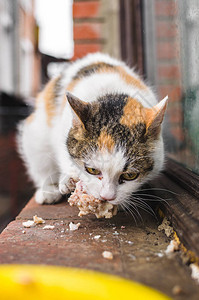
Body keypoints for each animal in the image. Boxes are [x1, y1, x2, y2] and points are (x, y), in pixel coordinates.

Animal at [17, 52, 168, 206]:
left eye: (130, 175)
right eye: (92, 170)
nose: (107, 196)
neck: (112, 94)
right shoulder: (61, 127)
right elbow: (62, 152)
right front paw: (67, 180)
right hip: (35, 134)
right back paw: (47, 192)